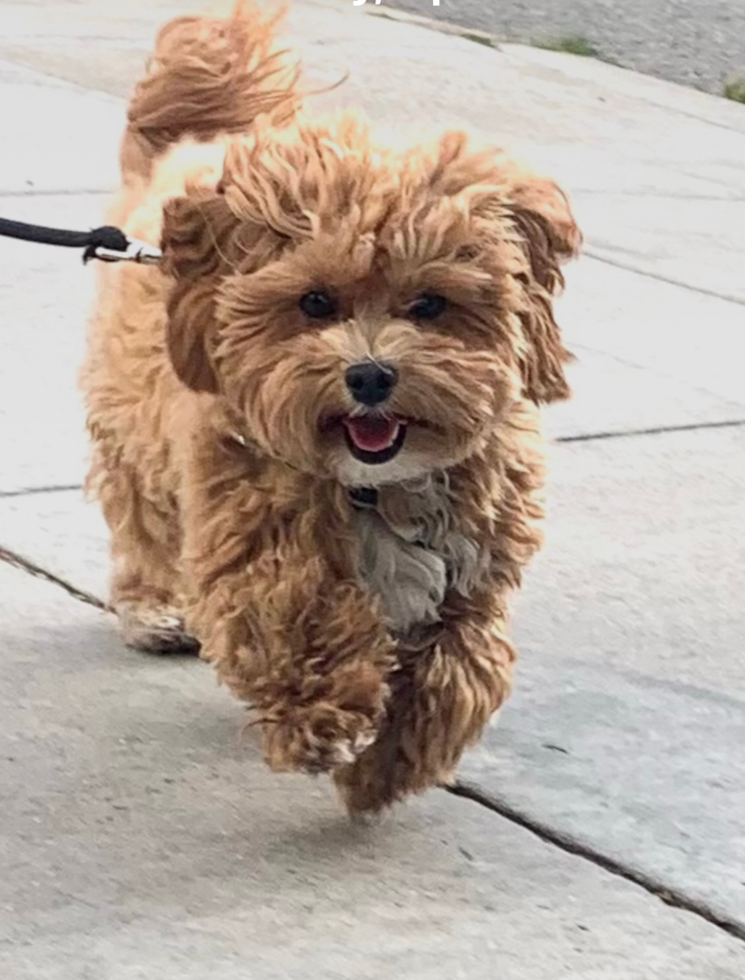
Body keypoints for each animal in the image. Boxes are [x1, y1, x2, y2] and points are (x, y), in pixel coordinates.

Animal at [83, 3, 580, 816]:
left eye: (430, 304)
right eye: (315, 302)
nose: (371, 374)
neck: (379, 484)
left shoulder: (472, 568)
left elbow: (460, 667)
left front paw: (393, 764)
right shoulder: (259, 540)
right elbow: (298, 617)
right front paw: (328, 723)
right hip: (136, 429)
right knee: (142, 521)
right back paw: (153, 608)